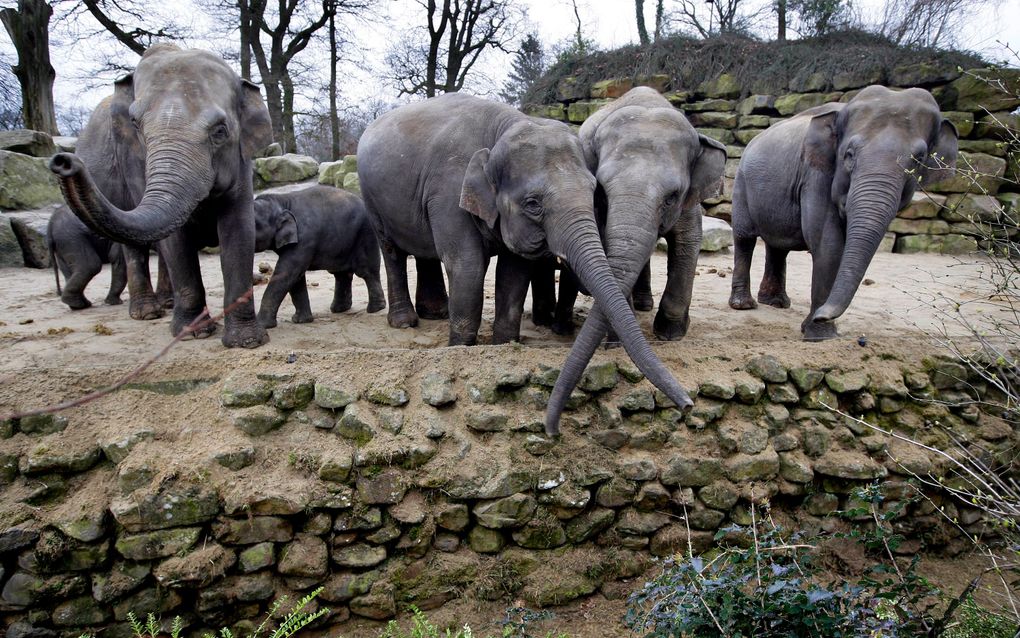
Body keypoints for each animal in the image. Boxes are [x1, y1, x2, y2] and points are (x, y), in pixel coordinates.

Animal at [48, 43, 273, 349]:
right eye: (135, 124)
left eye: (220, 131)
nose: (63, 160)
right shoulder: (132, 160)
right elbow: (176, 241)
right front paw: (193, 334)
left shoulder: (240, 159)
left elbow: (237, 229)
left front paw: (246, 342)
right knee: (136, 246)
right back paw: (147, 313)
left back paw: (166, 304)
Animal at [252, 181, 383, 326]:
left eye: (254, 224)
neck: (281, 201)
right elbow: (295, 277)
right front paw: (301, 321)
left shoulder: (304, 240)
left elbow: (288, 273)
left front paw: (262, 325)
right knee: (341, 274)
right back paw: (339, 309)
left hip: (366, 232)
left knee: (366, 271)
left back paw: (375, 309)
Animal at [357, 90, 693, 428]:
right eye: (533, 204)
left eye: (594, 191)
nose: (688, 405)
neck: (500, 132)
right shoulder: (448, 190)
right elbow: (467, 265)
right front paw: (460, 348)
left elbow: (514, 271)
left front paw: (504, 346)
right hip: (371, 199)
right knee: (392, 251)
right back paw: (404, 322)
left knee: (424, 252)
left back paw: (435, 314)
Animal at [542, 87, 726, 434]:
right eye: (602, 190)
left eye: (672, 196)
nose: (688, 405)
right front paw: (616, 343)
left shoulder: (690, 199)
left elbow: (687, 242)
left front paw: (670, 333)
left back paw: (642, 306)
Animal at [730, 88, 958, 342]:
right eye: (849, 154)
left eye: (918, 160)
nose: (821, 315)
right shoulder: (815, 173)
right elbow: (827, 243)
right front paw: (820, 335)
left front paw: (818, 329)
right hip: (741, 183)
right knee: (745, 237)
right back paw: (744, 305)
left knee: (777, 245)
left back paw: (776, 303)